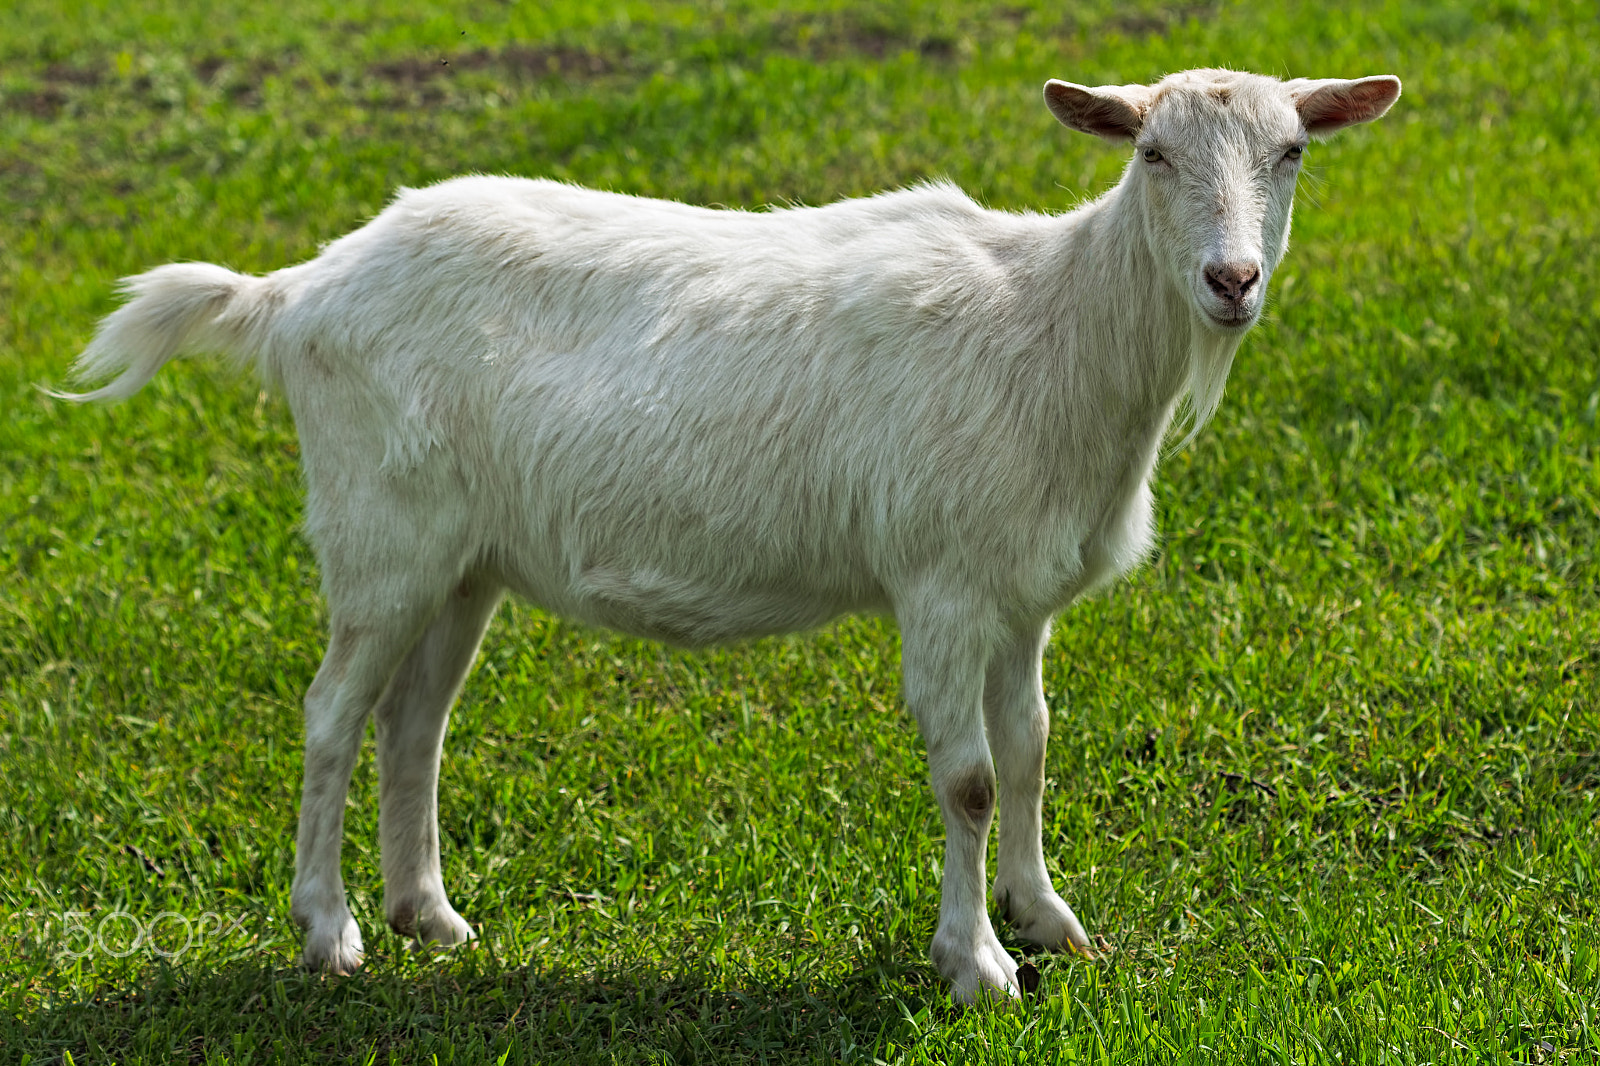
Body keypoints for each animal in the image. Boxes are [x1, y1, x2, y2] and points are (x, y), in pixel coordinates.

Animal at [61, 68, 1400, 1002]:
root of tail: (299, 291)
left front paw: (1047, 917)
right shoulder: (941, 582)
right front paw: (976, 966)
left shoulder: (1019, 591)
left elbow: (1027, 750)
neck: (1052, 325)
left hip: (464, 561)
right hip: (378, 531)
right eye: (1153, 154)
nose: (1231, 280)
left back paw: (427, 915)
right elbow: (967, 777)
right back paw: (326, 930)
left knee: (413, 719)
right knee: (332, 713)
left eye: (1290, 152)